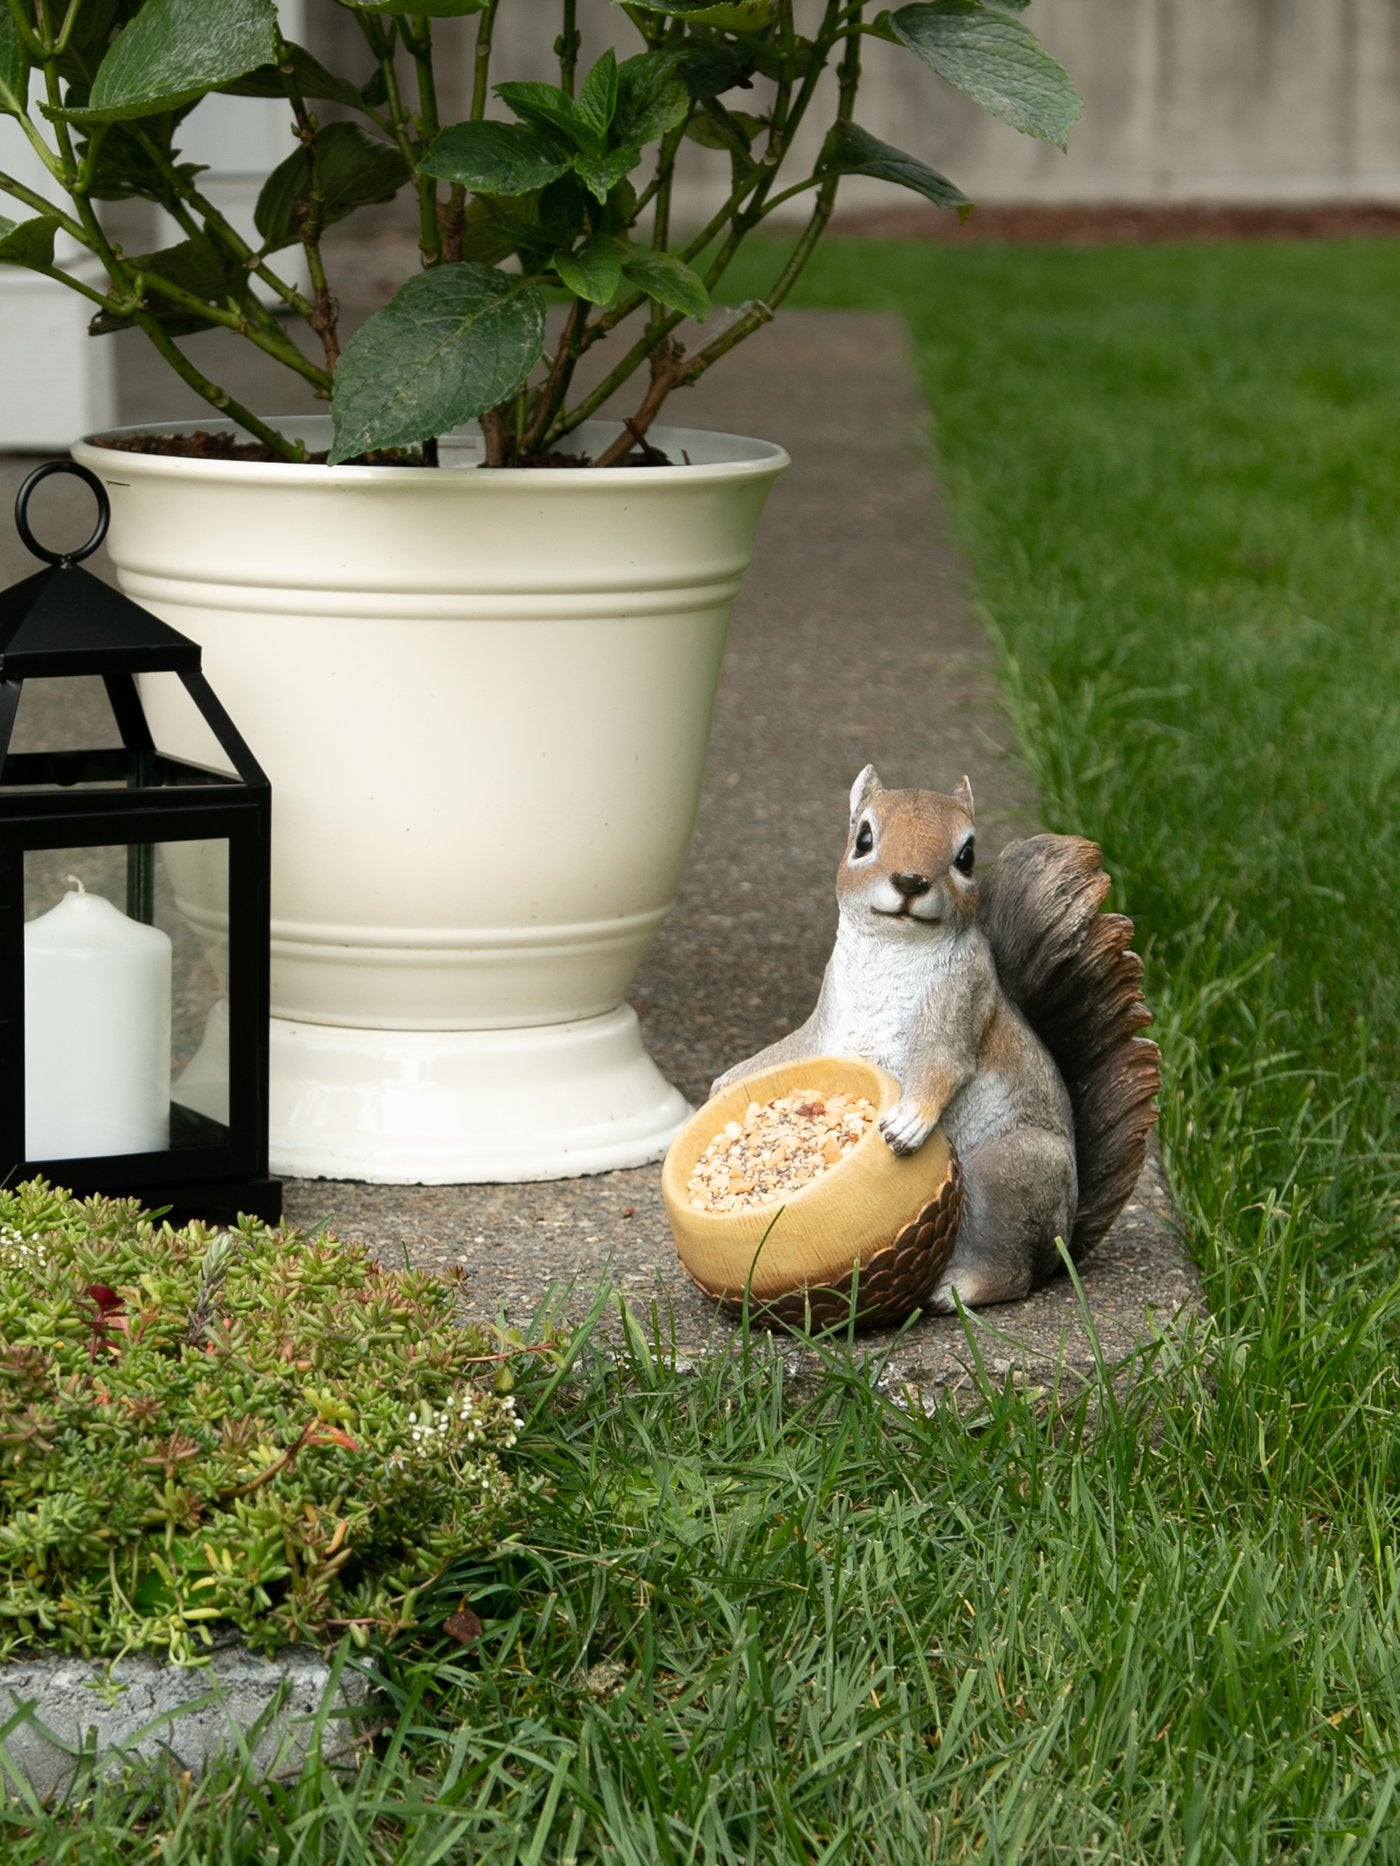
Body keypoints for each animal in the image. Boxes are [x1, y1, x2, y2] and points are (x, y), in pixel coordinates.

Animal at [711, 767, 1161, 1311]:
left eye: (966, 856)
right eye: (863, 838)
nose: (910, 881)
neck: (891, 949)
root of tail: (1063, 1244)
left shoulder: (958, 1002)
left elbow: (943, 1066)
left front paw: (908, 1122)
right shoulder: (825, 1026)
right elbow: (789, 1052)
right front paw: (727, 1084)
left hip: (1006, 1173)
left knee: (1013, 1273)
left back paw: (957, 1289)